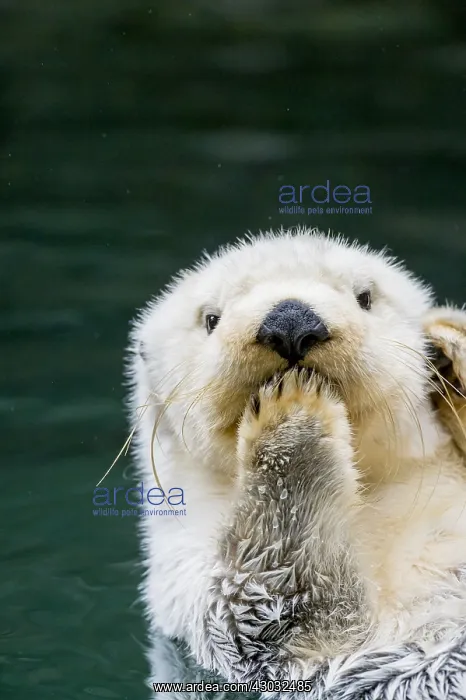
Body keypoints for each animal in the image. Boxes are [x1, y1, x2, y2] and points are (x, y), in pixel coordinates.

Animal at [127, 229, 466, 684]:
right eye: (211, 318)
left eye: (365, 296)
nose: (290, 321)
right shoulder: (193, 581)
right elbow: (280, 598)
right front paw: (291, 417)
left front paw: (450, 346)